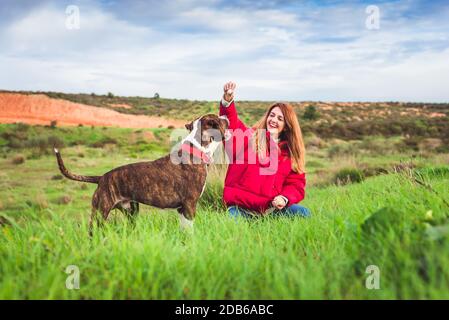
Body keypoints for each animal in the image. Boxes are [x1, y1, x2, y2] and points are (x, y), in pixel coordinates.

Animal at [54, 114, 228, 236]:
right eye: (219, 119)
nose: (226, 116)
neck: (197, 149)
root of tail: (101, 178)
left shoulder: (182, 209)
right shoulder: (190, 205)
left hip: (131, 212)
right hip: (100, 213)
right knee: (92, 232)